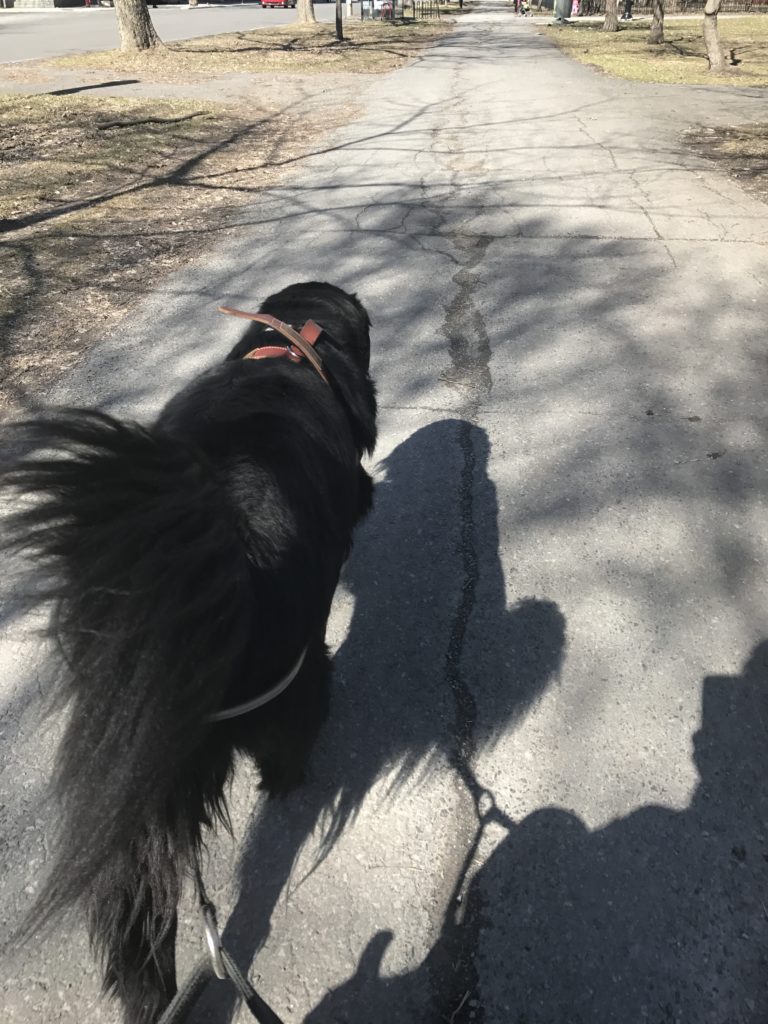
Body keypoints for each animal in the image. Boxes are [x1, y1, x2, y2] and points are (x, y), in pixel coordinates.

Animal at [0, 282, 378, 1024]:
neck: (287, 349)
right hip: (290, 680)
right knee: (294, 730)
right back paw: (290, 777)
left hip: (131, 788)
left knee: (135, 909)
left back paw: (150, 993)